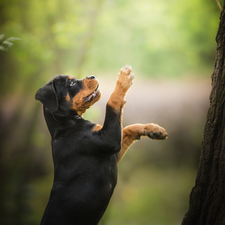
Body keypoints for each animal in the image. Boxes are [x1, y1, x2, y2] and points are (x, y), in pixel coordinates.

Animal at [35, 65, 168, 225]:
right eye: (71, 83)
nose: (92, 76)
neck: (66, 125)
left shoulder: (112, 151)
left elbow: (127, 128)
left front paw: (153, 129)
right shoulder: (109, 140)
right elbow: (112, 103)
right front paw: (123, 78)